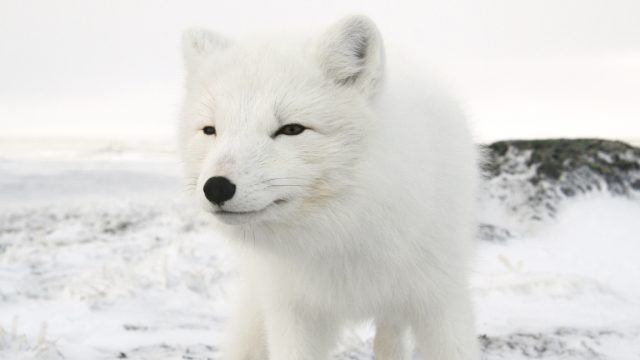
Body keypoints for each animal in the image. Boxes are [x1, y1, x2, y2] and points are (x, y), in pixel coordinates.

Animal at [178, 14, 478, 360]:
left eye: (291, 129)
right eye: (210, 130)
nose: (215, 188)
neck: (343, 230)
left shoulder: (442, 301)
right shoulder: (292, 312)